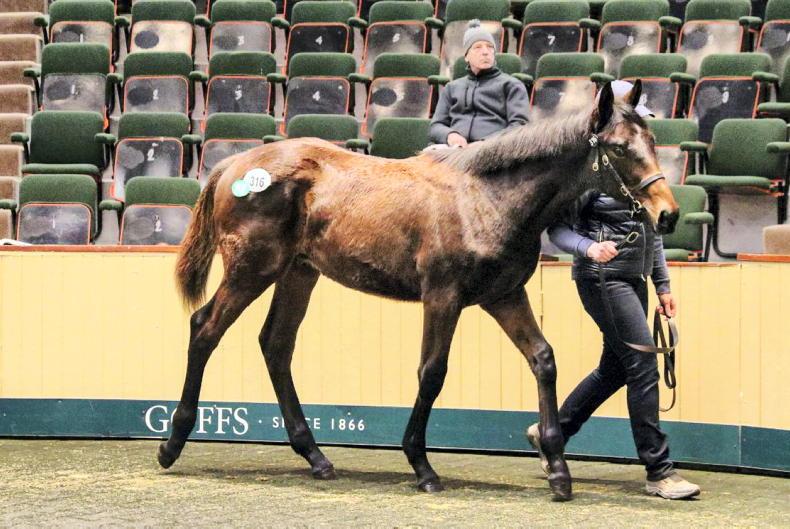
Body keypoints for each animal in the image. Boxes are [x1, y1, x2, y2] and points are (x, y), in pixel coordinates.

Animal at [157, 82, 679, 501]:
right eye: (619, 147)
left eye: (653, 141)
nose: (668, 214)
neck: (485, 199)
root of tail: (234, 163)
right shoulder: (443, 297)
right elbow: (432, 373)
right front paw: (422, 466)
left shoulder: (504, 297)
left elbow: (543, 359)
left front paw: (557, 469)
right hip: (252, 269)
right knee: (205, 328)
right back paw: (171, 444)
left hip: (298, 274)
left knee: (276, 345)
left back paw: (316, 457)